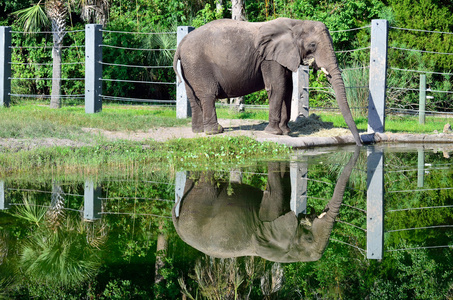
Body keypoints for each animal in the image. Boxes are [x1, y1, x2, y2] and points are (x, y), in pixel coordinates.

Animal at [173, 17, 364, 146]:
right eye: (312, 45)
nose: (360, 145)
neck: (296, 23)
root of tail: (180, 45)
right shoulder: (270, 58)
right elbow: (277, 87)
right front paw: (274, 133)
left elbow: (288, 88)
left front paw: (286, 131)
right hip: (198, 64)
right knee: (207, 95)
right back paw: (215, 131)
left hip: (190, 67)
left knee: (193, 97)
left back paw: (198, 131)